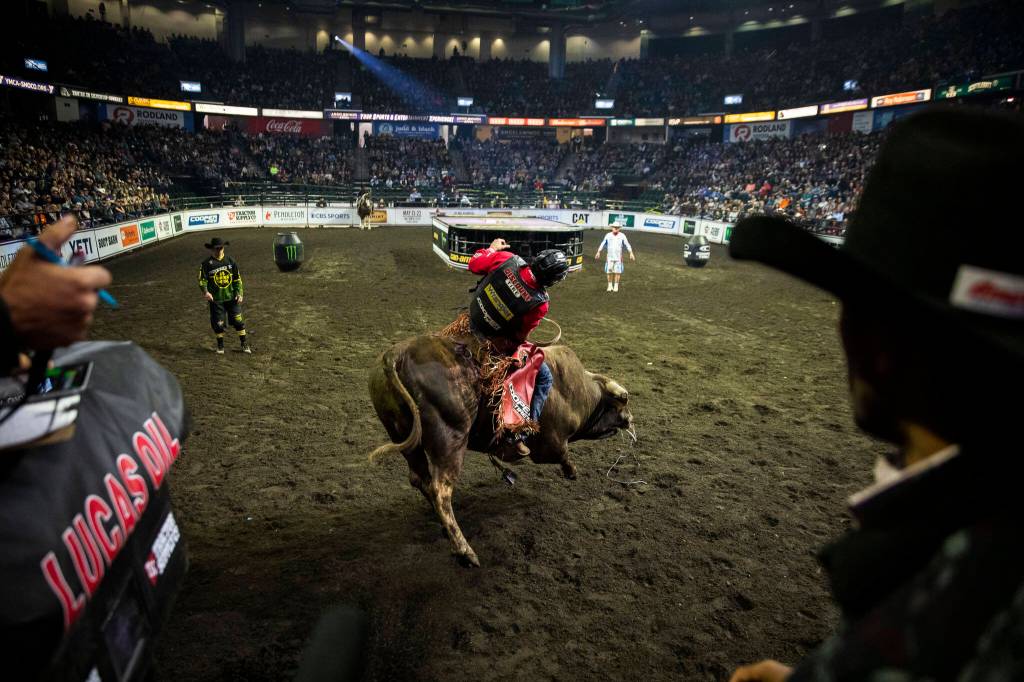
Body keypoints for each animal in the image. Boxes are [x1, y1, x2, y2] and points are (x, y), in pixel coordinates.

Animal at [369, 334, 633, 567]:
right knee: (440, 490)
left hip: (403, 435)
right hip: (451, 438)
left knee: (420, 479)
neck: (580, 391)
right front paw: (572, 471)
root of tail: (396, 355)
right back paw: (465, 551)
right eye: (622, 404)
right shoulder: (550, 443)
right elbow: (562, 453)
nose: (630, 419)